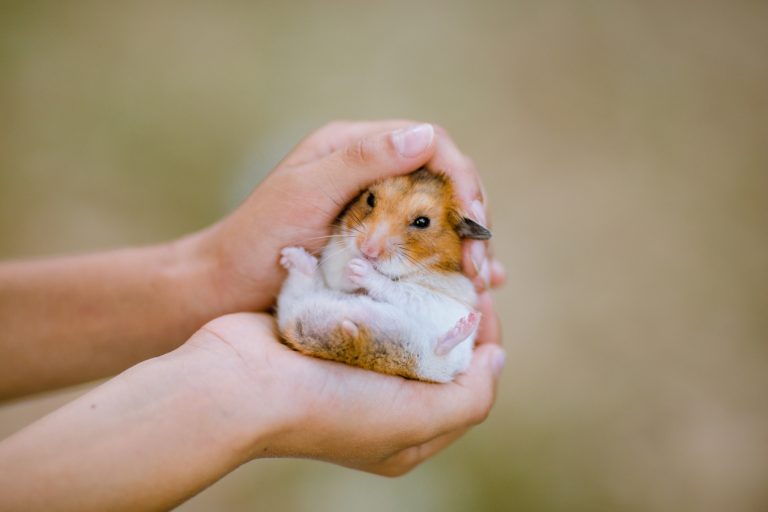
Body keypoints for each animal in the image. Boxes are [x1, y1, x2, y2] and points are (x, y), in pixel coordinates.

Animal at [278, 166, 492, 382]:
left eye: (422, 222)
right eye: (370, 199)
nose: (367, 251)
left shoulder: (438, 295)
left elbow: (396, 288)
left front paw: (358, 268)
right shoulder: (333, 260)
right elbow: (339, 276)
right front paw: (352, 266)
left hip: (443, 360)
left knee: (441, 350)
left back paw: (467, 324)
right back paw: (292, 256)